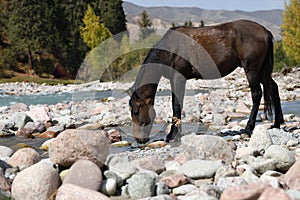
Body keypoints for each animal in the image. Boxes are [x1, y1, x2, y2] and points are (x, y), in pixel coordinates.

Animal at [129, 19, 284, 144]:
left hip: (252, 70)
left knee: (257, 94)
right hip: (263, 71)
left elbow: (176, 105)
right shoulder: (175, 80)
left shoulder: (179, 78)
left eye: (136, 111)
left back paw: (247, 130)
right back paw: (277, 123)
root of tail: (264, 31)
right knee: (273, 87)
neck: (169, 49)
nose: (139, 139)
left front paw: (173, 135)